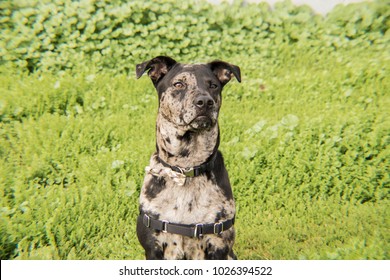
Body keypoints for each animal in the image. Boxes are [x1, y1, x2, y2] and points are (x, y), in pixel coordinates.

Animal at [135, 55, 241, 260]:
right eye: (179, 84)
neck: (186, 168)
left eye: (213, 85)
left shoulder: (219, 246)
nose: (205, 102)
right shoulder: (153, 247)